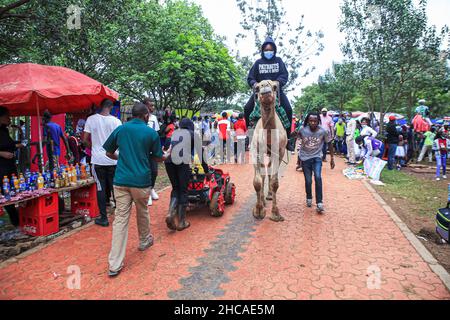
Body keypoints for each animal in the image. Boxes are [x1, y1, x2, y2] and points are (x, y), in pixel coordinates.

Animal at [250, 79, 288, 222]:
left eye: (275, 86)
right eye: (257, 87)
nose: (265, 87)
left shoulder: (280, 152)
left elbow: (275, 182)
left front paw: (276, 214)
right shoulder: (255, 150)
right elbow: (257, 181)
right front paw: (258, 210)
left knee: (270, 171)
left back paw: (270, 195)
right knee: (263, 173)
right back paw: (263, 200)